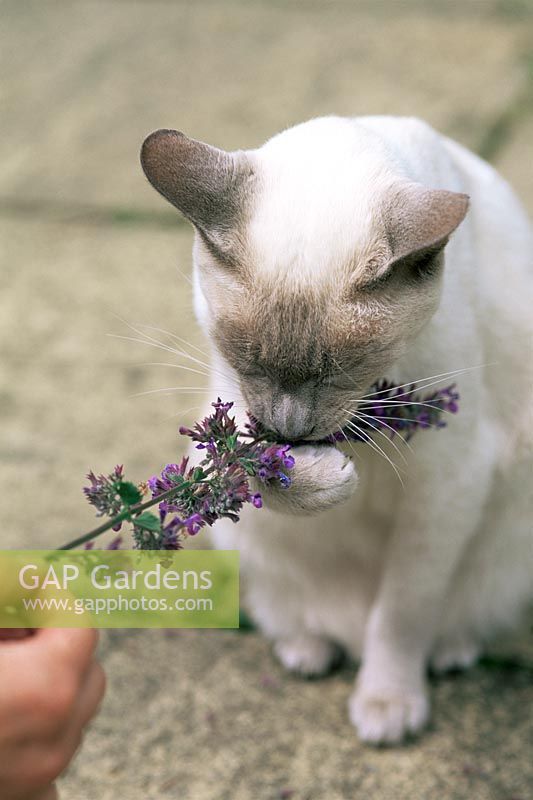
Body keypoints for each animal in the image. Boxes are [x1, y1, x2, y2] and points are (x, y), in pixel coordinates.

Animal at [141, 114, 532, 744]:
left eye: (341, 371)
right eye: (247, 361)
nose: (292, 429)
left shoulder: (448, 485)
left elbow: (402, 613)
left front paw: (386, 703)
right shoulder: (227, 421)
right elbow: (257, 470)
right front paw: (327, 478)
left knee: (435, 618)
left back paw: (447, 650)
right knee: (295, 616)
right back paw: (307, 649)